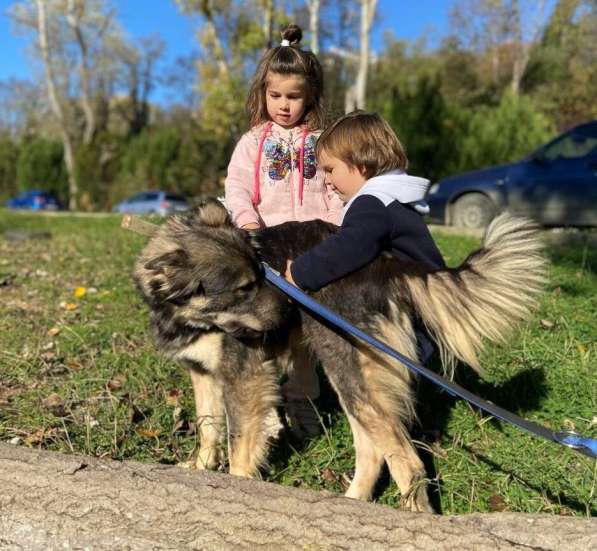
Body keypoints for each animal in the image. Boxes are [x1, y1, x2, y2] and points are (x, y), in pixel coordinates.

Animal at [133, 199, 544, 512]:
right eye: (245, 288)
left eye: (261, 274)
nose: (289, 308)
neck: (190, 318)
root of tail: (386, 262)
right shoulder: (202, 372)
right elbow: (208, 428)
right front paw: (200, 470)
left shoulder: (245, 377)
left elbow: (239, 444)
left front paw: (238, 486)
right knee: (374, 450)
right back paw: (352, 502)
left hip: (344, 364)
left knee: (405, 459)